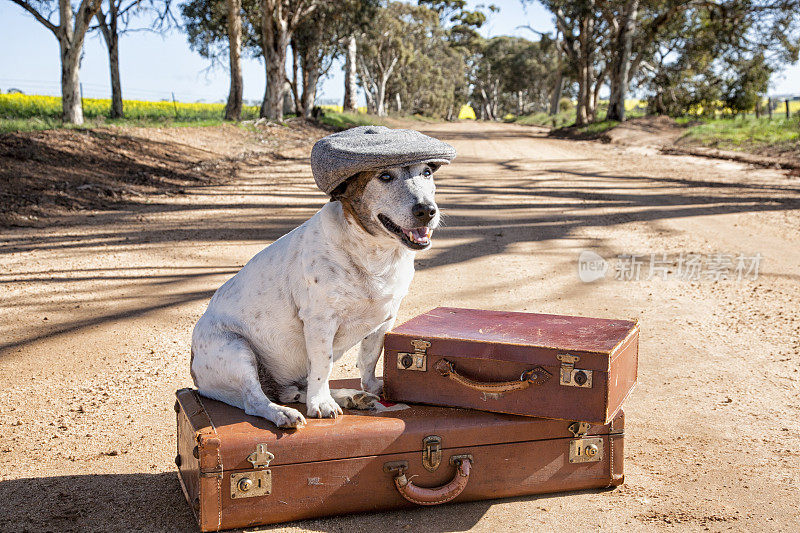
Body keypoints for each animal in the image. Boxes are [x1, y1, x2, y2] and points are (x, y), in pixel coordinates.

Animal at [192, 162, 444, 428]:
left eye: (427, 172)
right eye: (385, 176)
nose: (427, 210)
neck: (375, 254)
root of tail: (197, 378)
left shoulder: (386, 318)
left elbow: (370, 356)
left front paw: (371, 386)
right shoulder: (320, 322)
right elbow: (323, 364)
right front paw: (321, 404)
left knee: (296, 389)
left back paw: (346, 396)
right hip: (237, 350)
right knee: (255, 399)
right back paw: (284, 412)